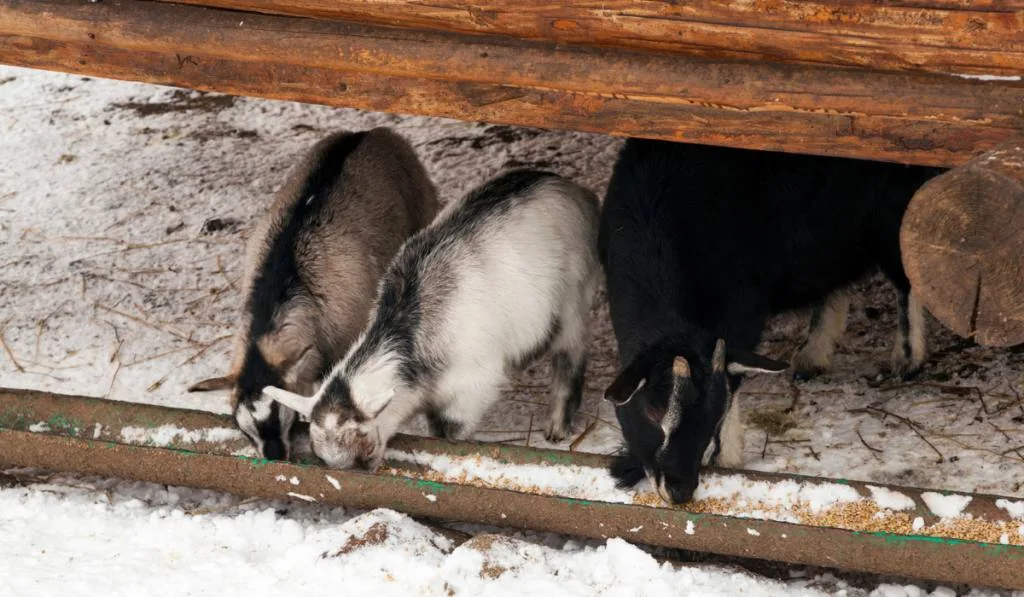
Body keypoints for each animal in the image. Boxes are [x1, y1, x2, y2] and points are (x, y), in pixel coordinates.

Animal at [263, 170, 600, 470]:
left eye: (366, 443)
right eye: (321, 456)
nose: (363, 470)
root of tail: (577, 192)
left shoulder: (470, 389)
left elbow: (450, 432)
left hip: (573, 298)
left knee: (570, 355)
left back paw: (557, 426)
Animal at [599, 138, 942, 503]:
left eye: (712, 417)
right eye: (652, 412)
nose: (681, 490)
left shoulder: (741, 309)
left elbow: (734, 377)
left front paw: (726, 458)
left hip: (894, 204)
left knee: (907, 268)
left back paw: (906, 358)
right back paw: (813, 355)